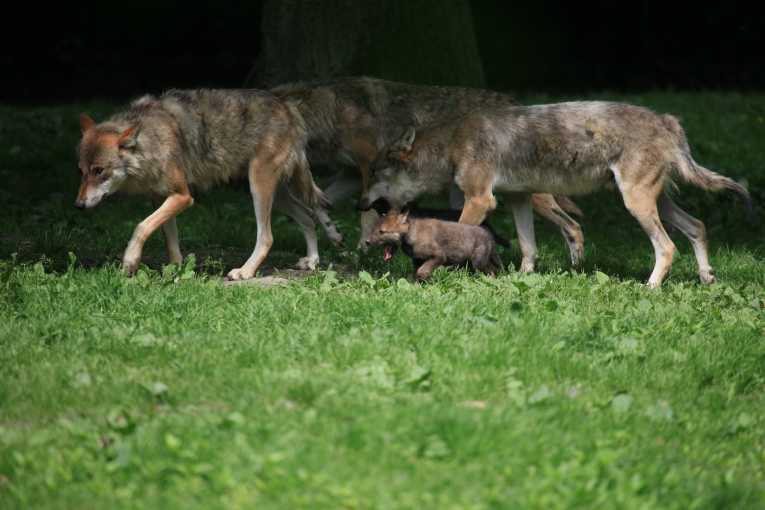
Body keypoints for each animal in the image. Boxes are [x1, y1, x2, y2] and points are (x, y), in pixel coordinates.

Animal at [75, 89, 342, 280]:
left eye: (99, 171)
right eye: (81, 171)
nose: (78, 205)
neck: (150, 140)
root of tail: (288, 107)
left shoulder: (183, 196)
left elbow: (141, 226)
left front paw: (130, 262)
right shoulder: (162, 199)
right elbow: (170, 242)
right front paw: (178, 272)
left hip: (259, 188)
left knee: (267, 237)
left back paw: (245, 272)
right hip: (273, 195)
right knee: (308, 216)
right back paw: (312, 261)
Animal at [271, 77, 585, 264]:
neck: (331, 112)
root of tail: (516, 103)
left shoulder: (366, 166)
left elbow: (366, 218)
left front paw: (362, 251)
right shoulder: (351, 175)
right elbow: (320, 203)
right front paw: (335, 235)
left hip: (527, 192)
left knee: (571, 225)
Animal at [366, 210, 501, 281]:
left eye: (382, 232)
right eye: (373, 229)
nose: (367, 241)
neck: (412, 233)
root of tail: (489, 235)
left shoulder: (439, 256)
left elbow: (422, 272)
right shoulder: (417, 260)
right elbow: (417, 274)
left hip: (478, 263)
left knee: (492, 272)